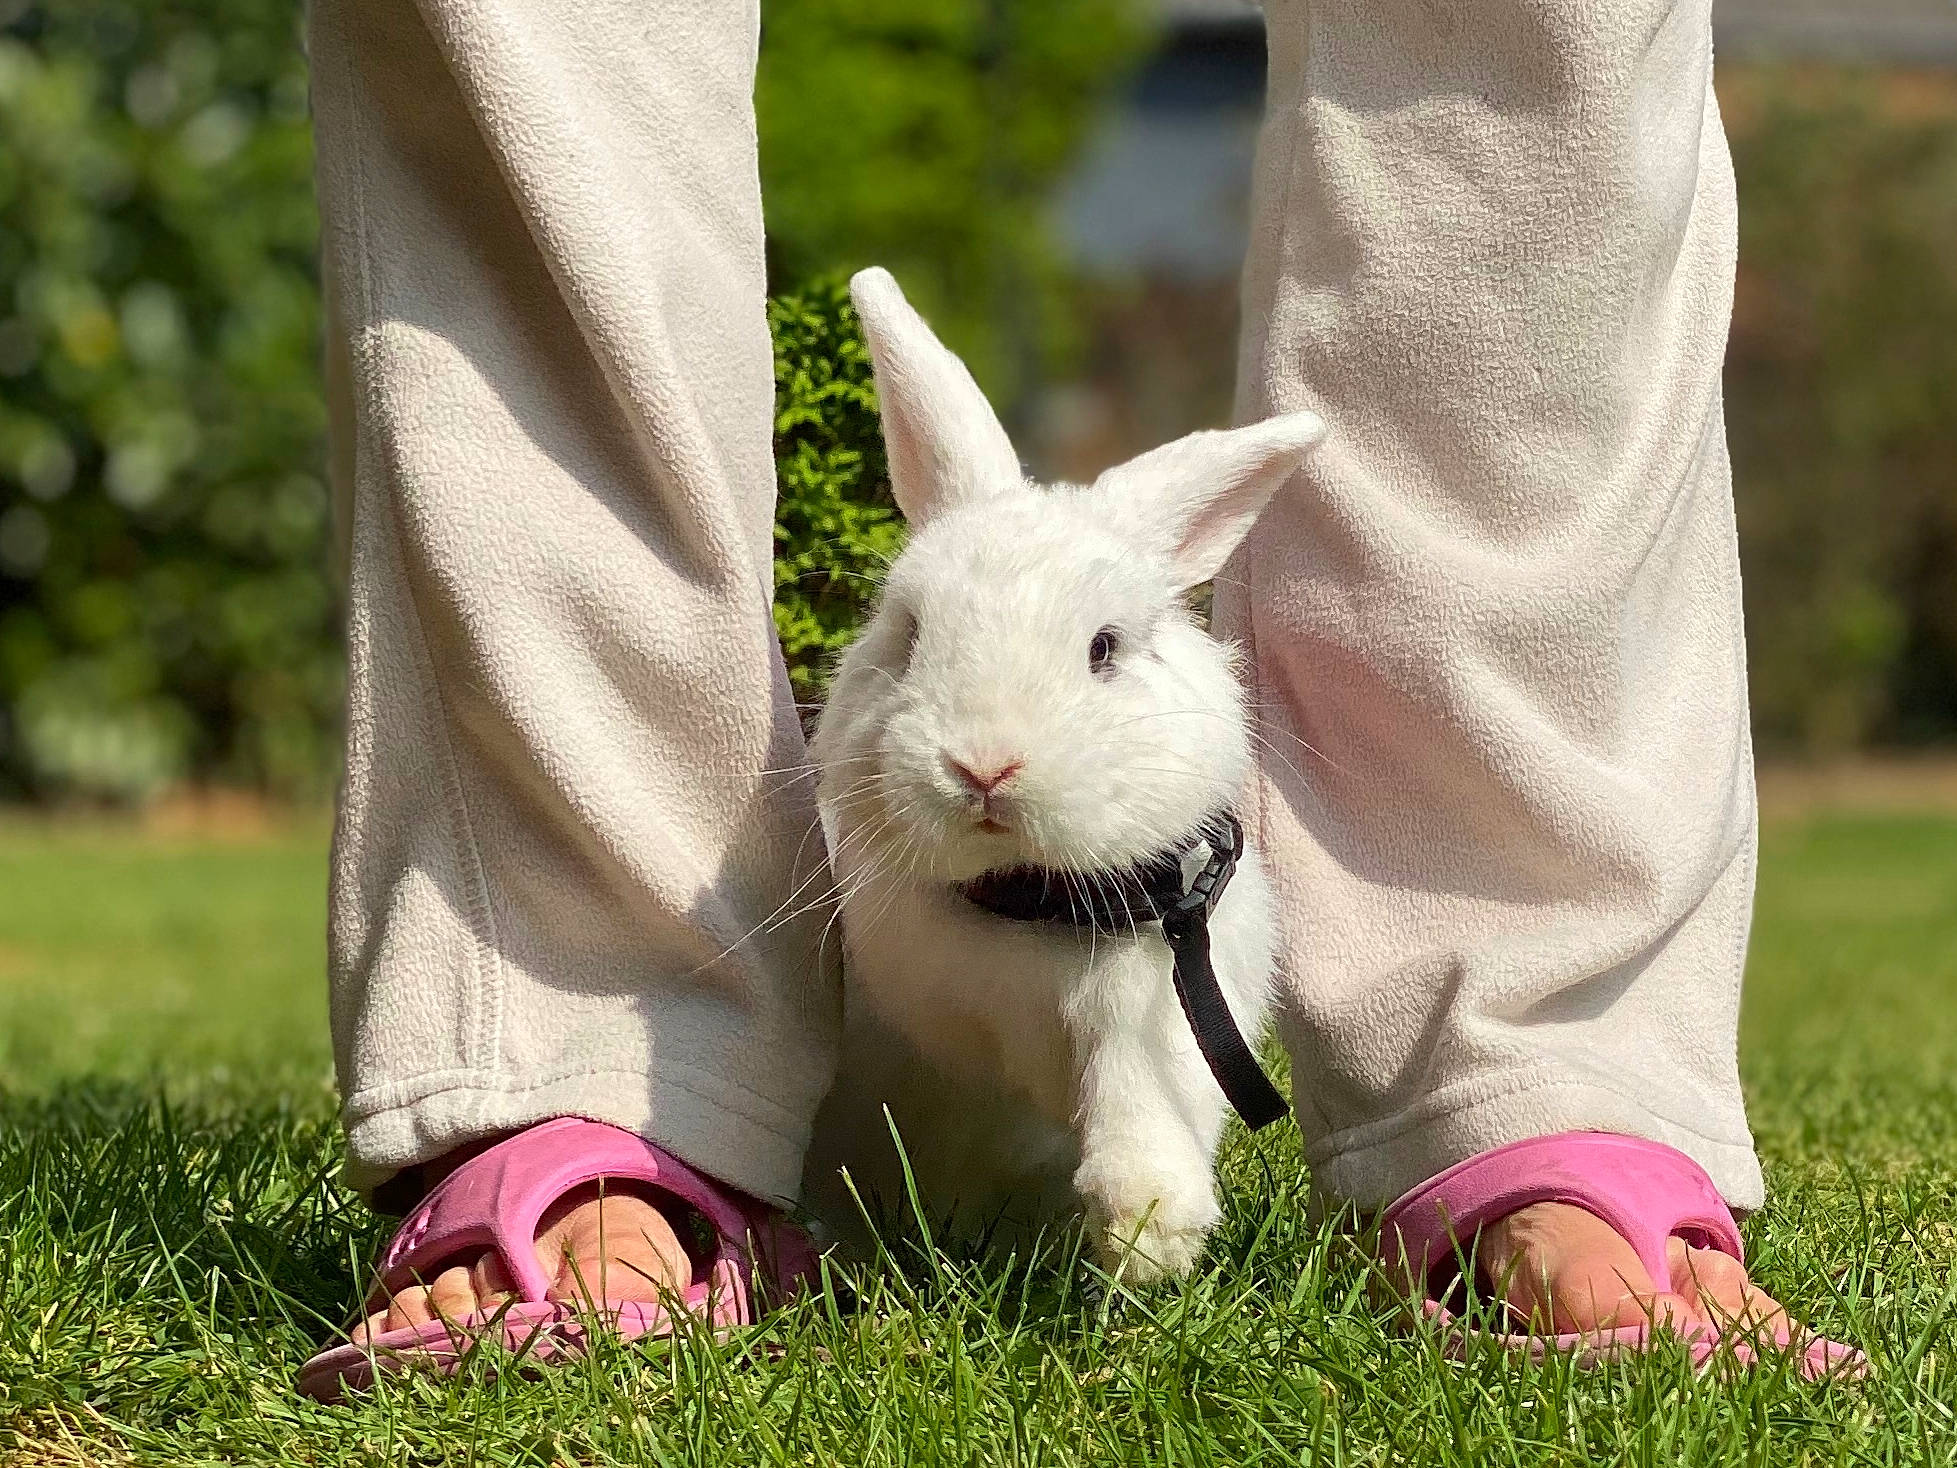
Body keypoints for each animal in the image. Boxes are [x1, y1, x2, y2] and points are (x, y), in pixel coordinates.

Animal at [803, 267, 1326, 1282]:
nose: (982, 765)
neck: (1028, 905)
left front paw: (1148, 1238)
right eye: (908, 634)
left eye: (1104, 649)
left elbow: (1138, 1103)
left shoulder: (1162, 1000)